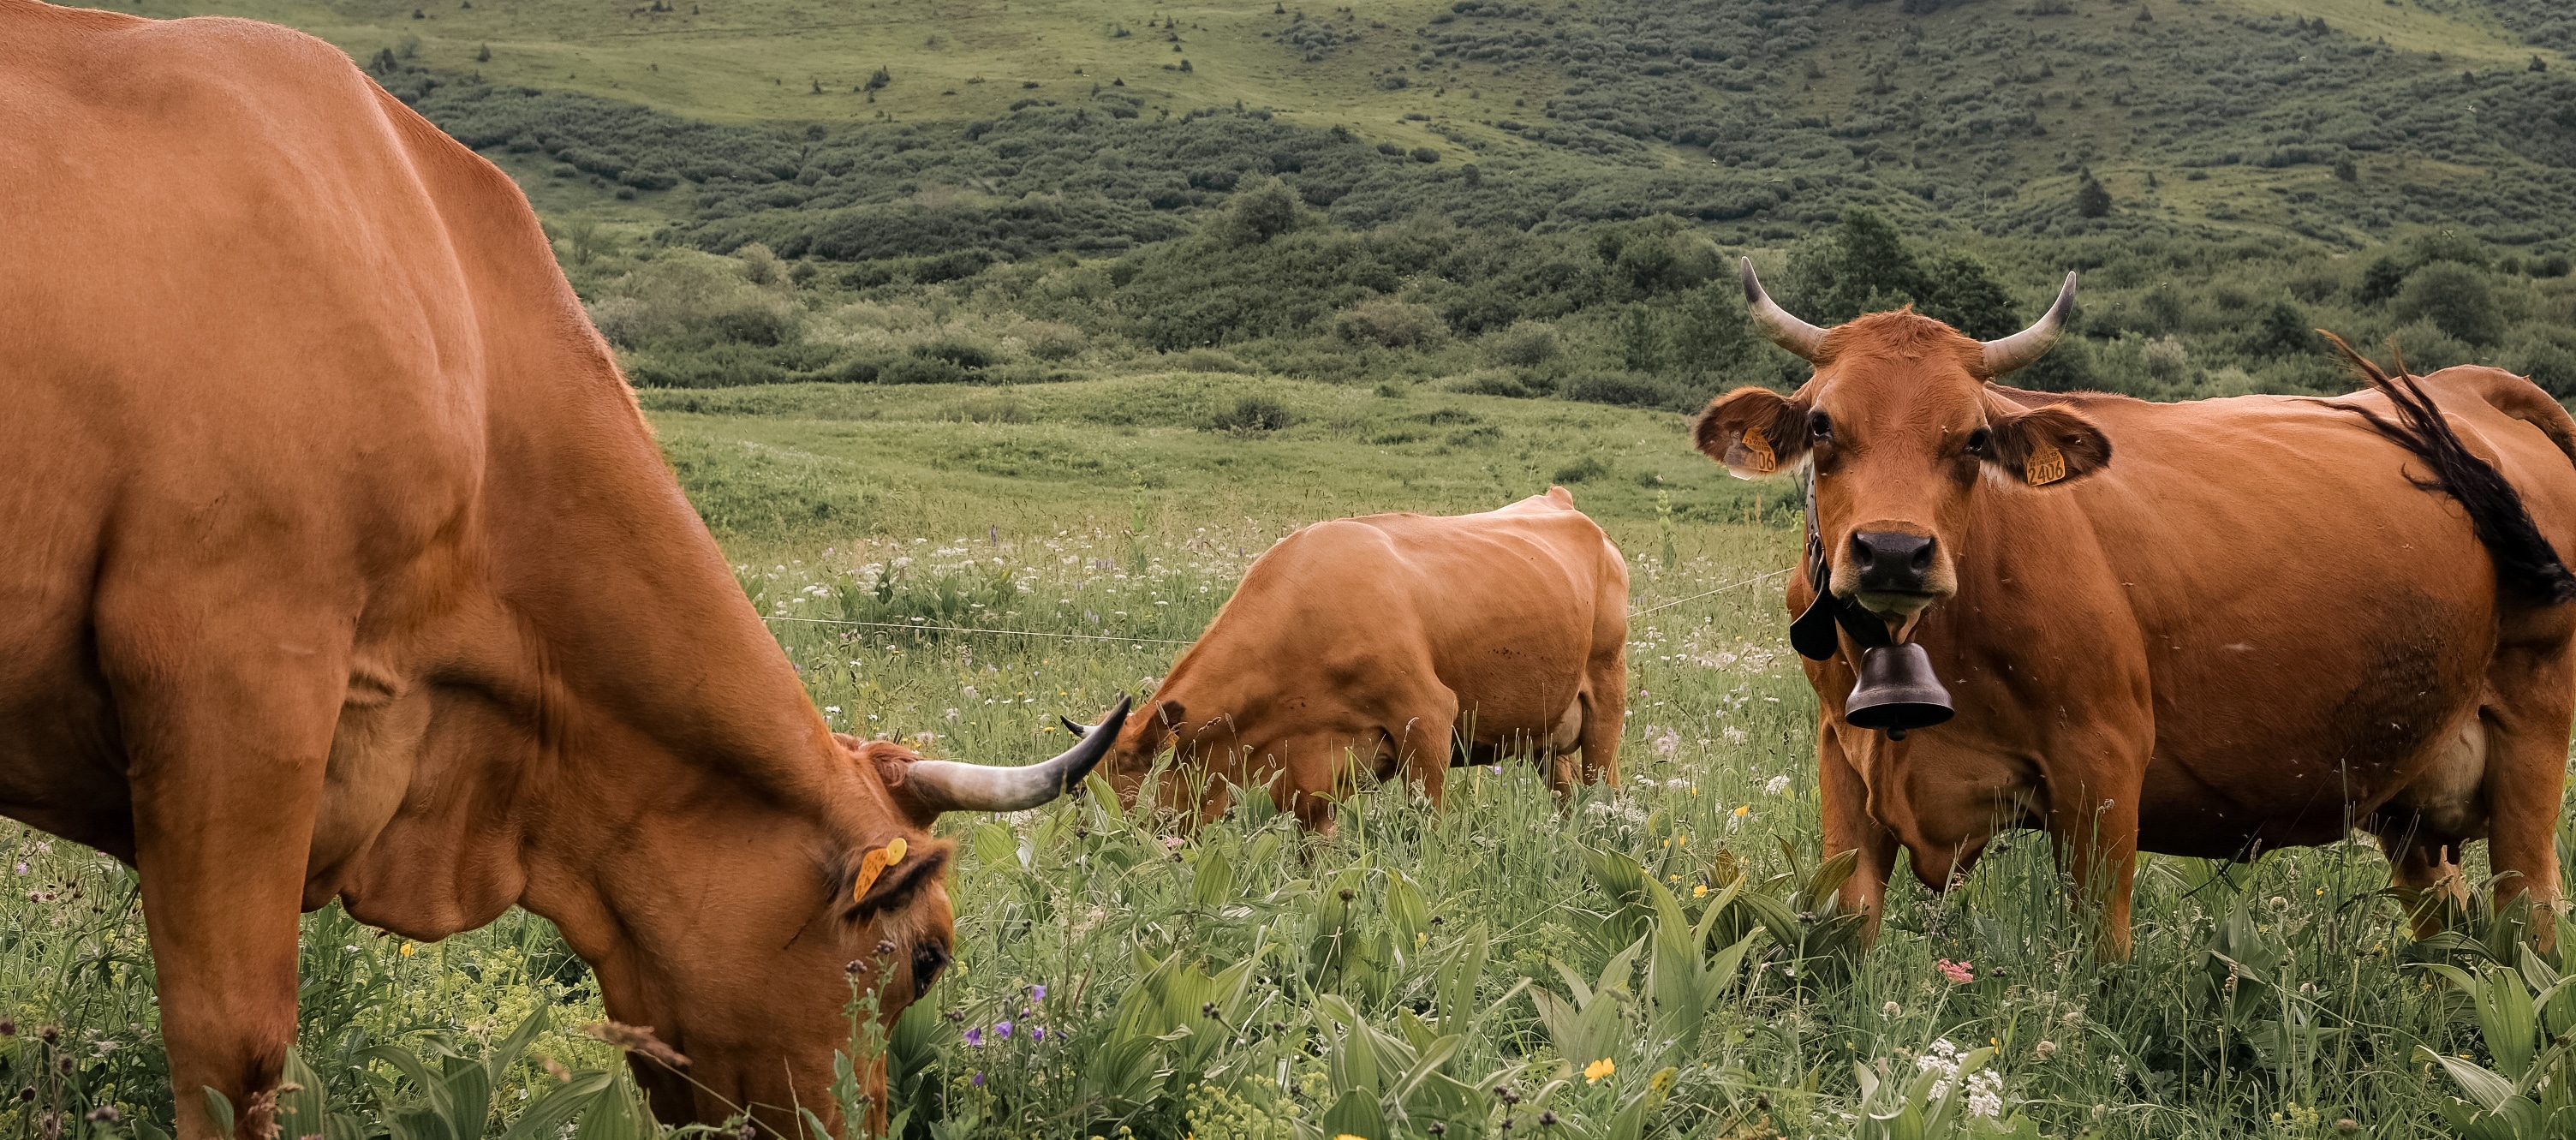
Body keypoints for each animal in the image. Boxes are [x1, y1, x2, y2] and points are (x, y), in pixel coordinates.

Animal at [1075, 489, 1629, 832]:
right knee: (1565, 791)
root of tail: (1559, 500)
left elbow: (1430, 825)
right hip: (1545, 729)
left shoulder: (1428, 717)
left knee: (1604, 784)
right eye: (1078, 790)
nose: (1101, 845)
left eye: (1125, 771)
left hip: (1606, 694)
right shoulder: (1308, 776)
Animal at [1691, 258, 2576, 959]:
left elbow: (2096, 949)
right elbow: (1848, 928)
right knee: (2452, 928)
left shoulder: (2105, 762)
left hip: (2531, 735)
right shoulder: (1844, 761)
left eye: (1974, 438)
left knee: (2532, 912)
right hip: (2409, 783)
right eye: (1821, 424)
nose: (1893, 550)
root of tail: (2468, 389)